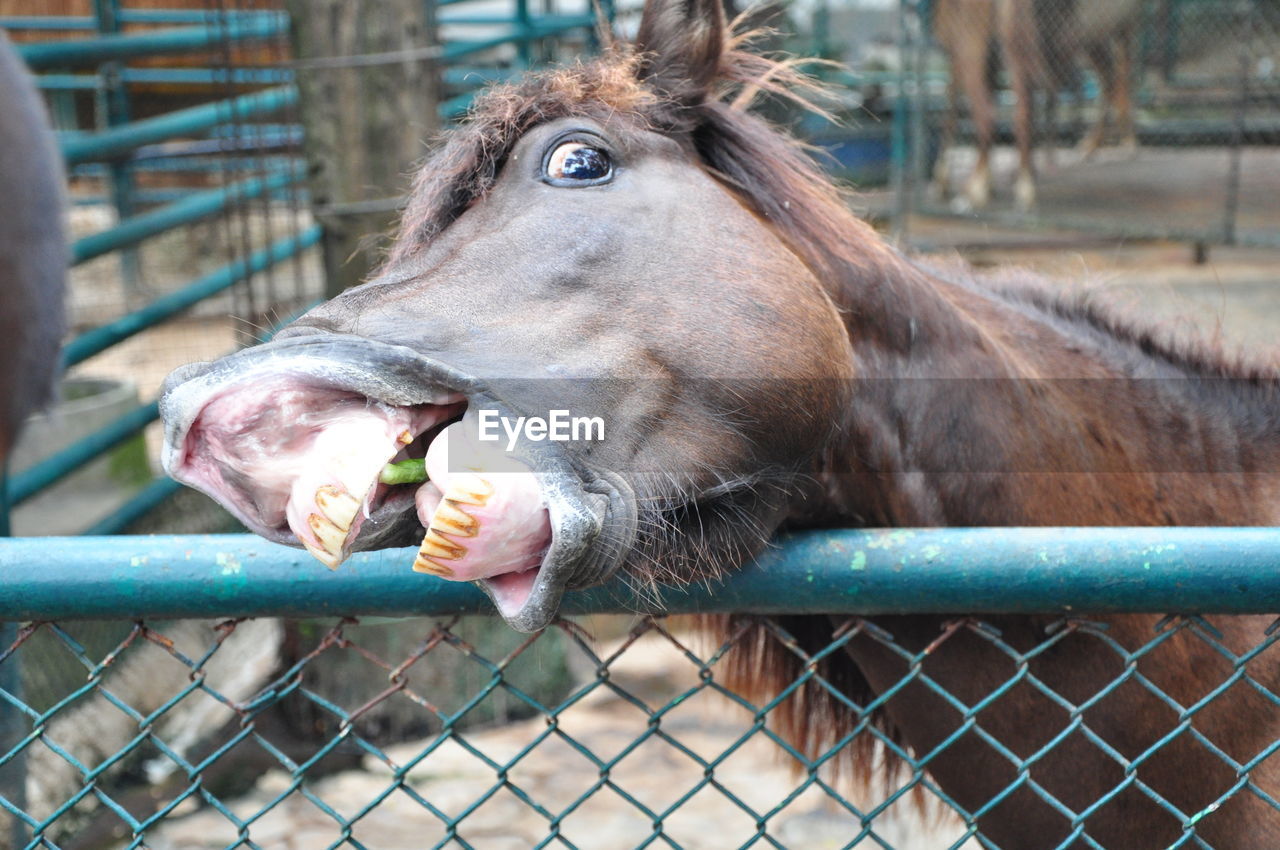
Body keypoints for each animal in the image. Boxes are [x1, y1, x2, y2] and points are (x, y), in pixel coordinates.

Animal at [931, 0, 1141, 211]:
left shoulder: (962, 39)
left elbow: (952, 109)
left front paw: (947, 183)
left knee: (993, 111)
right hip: (1091, 36)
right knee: (1112, 80)